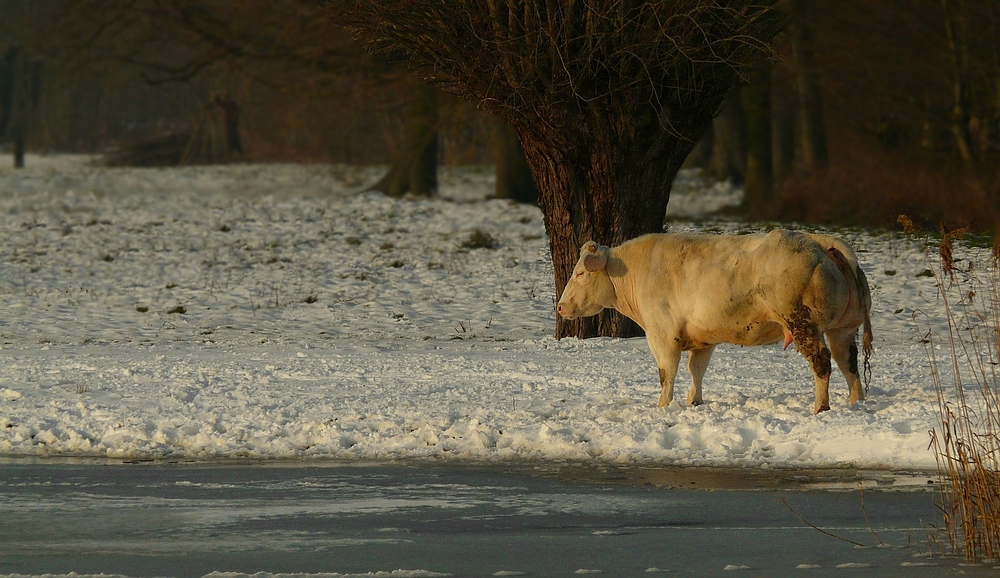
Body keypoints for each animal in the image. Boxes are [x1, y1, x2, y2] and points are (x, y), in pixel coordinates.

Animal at [560, 227, 872, 412]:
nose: (561, 307)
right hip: (843, 328)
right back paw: (856, 401)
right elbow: (696, 370)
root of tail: (819, 241)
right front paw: (694, 401)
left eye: (580, 273)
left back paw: (820, 407)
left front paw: (663, 406)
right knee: (848, 363)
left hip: (803, 324)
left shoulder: (662, 335)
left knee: (822, 363)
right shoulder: (702, 338)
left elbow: (666, 373)